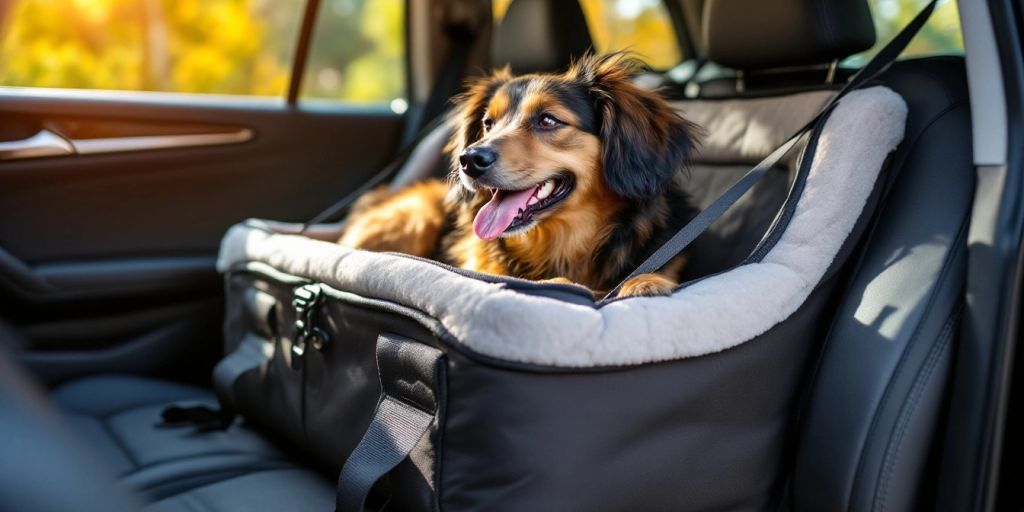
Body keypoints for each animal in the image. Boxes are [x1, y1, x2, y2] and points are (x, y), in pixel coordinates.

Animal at [339, 52, 700, 299]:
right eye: (488, 123)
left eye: (548, 120)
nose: (469, 159)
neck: (562, 244)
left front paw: (644, 281)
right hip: (417, 216)